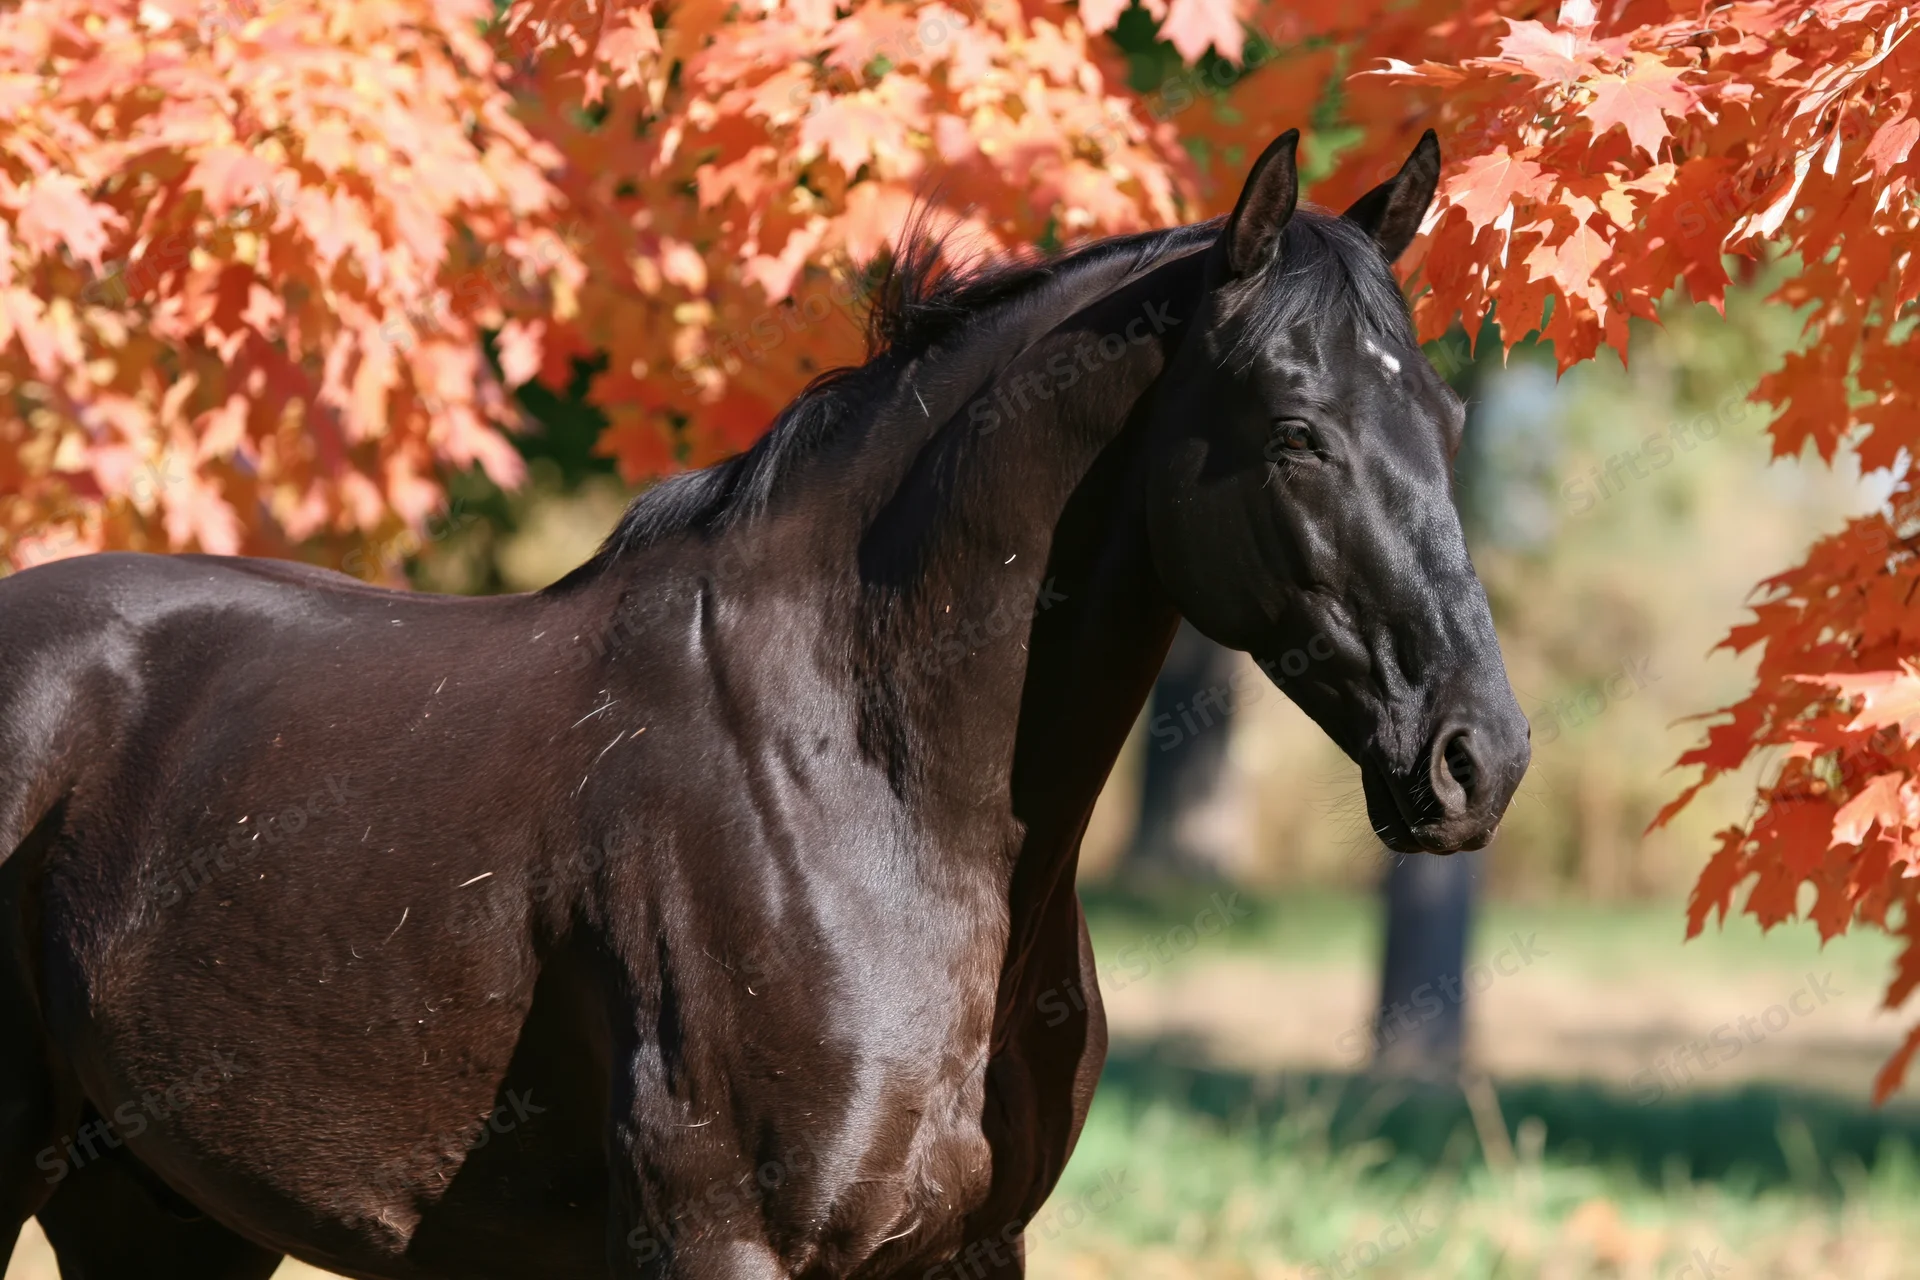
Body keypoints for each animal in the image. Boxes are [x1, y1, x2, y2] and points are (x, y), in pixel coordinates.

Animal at [0, 128, 1528, 1279]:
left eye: (1450, 424)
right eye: (1298, 434)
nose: (1480, 757)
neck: (859, 782)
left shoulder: (971, 1251)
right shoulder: (722, 1243)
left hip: (157, 1210)